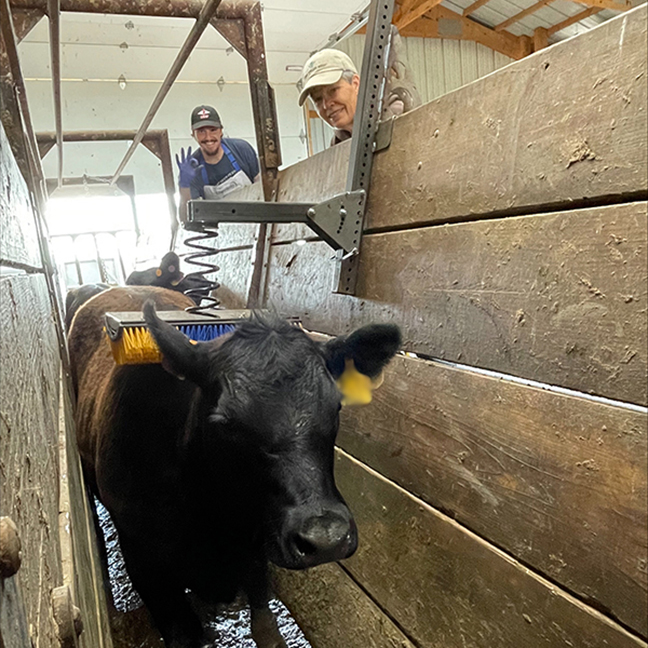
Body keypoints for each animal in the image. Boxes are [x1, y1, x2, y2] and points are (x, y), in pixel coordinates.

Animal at [67, 286, 401, 648]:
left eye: (336, 406)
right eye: (225, 421)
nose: (326, 537)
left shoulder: (255, 549)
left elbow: (266, 626)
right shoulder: (146, 567)